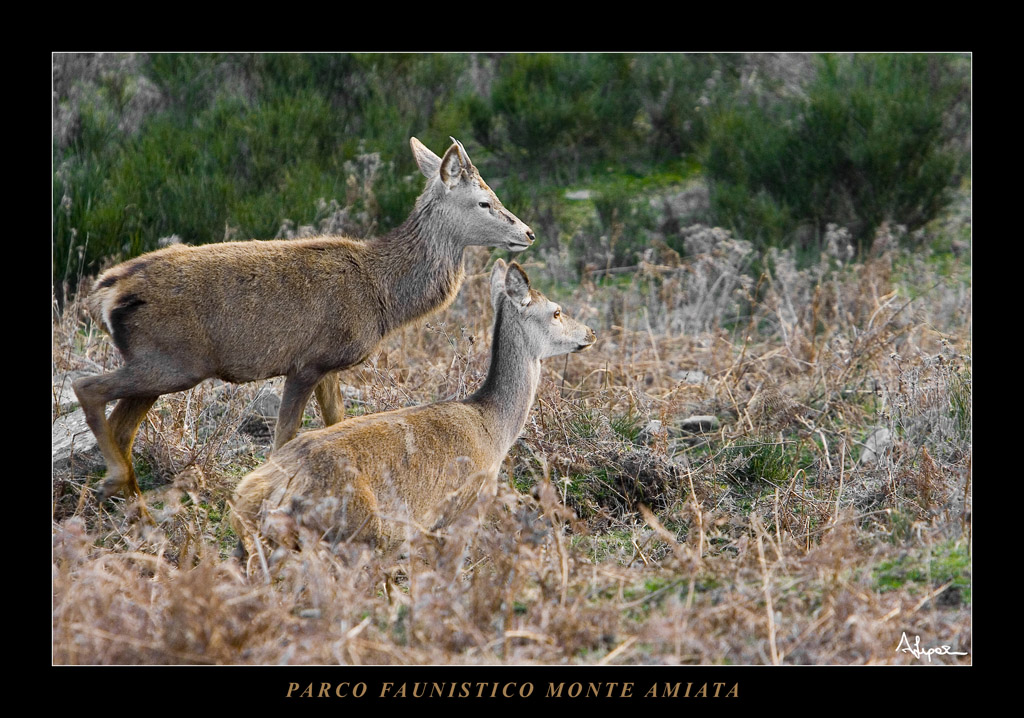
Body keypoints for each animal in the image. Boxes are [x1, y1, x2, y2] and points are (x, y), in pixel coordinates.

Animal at [73, 137, 536, 501]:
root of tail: (107, 292)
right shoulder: (305, 362)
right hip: (172, 361)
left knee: (121, 426)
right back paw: (114, 481)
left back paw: (131, 501)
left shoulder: (329, 364)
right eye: (484, 201)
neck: (382, 297)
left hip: (159, 365)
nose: (528, 233)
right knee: (88, 388)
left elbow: (337, 421)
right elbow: (283, 438)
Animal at [229, 260, 598, 557]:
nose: (591, 332)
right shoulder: (464, 512)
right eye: (556, 311)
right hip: (353, 534)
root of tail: (266, 493)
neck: (494, 430)